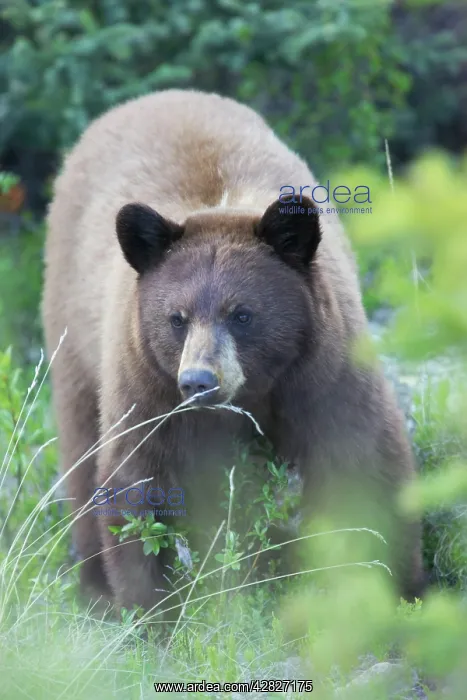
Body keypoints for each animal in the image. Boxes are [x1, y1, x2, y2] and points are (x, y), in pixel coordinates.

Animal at [42, 89, 425, 613]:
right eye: (176, 318)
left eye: (242, 314)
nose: (199, 382)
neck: (253, 394)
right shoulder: (149, 389)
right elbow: (136, 482)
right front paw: (149, 608)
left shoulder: (322, 371)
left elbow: (362, 456)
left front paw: (399, 588)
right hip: (73, 331)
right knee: (82, 446)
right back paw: (94, 584)